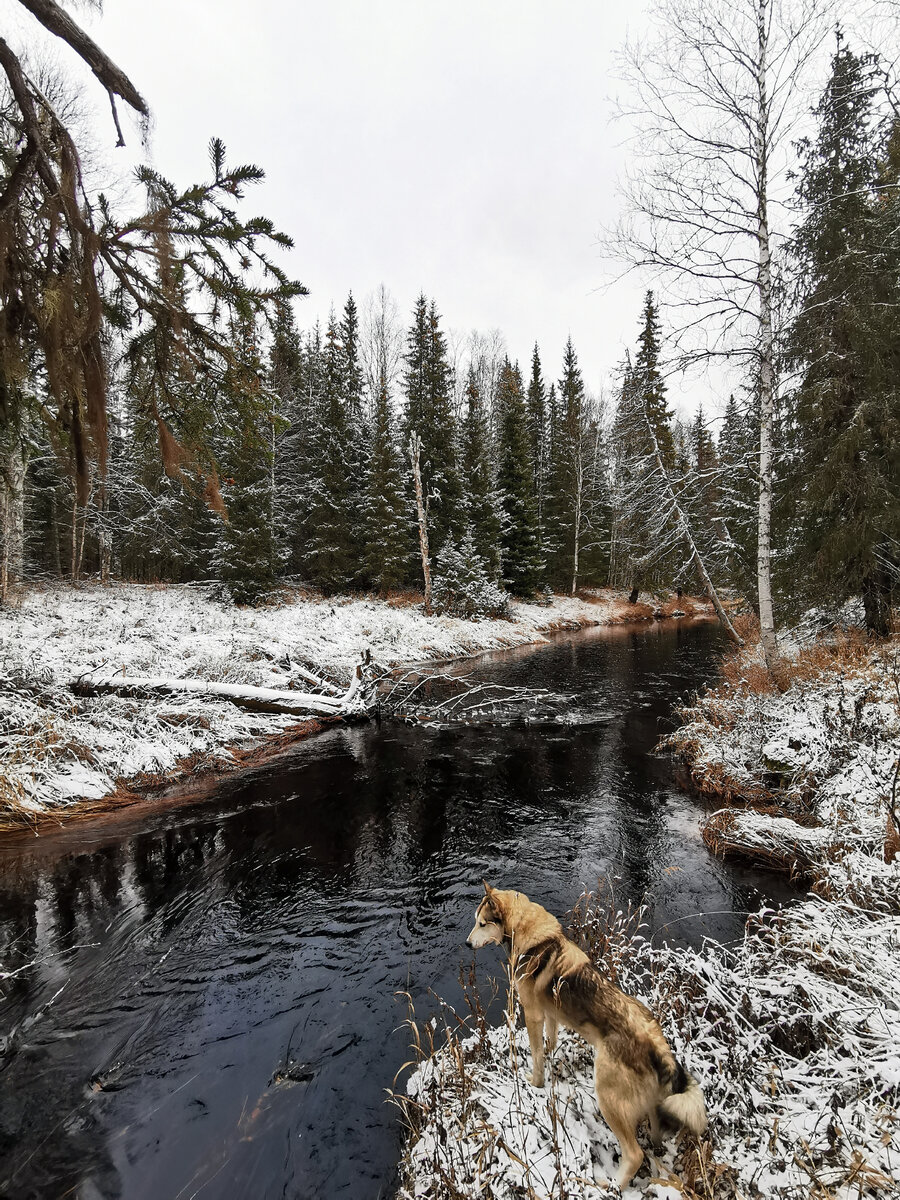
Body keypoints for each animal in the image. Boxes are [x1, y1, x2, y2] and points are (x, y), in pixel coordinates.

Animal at [468, 883, 710, 1190]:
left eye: (482, 924)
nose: (467, 944)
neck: (532, 934)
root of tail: (659, 1047)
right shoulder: (550, 1014)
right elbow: (550, 1042)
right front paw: (550, 1054)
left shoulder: (532, 1014)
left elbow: (536, 1056)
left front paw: (535, 1083)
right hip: (650, 1108)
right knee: (653, 1140)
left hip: (609, 1099)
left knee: (635, 1154)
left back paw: (611, 1186)